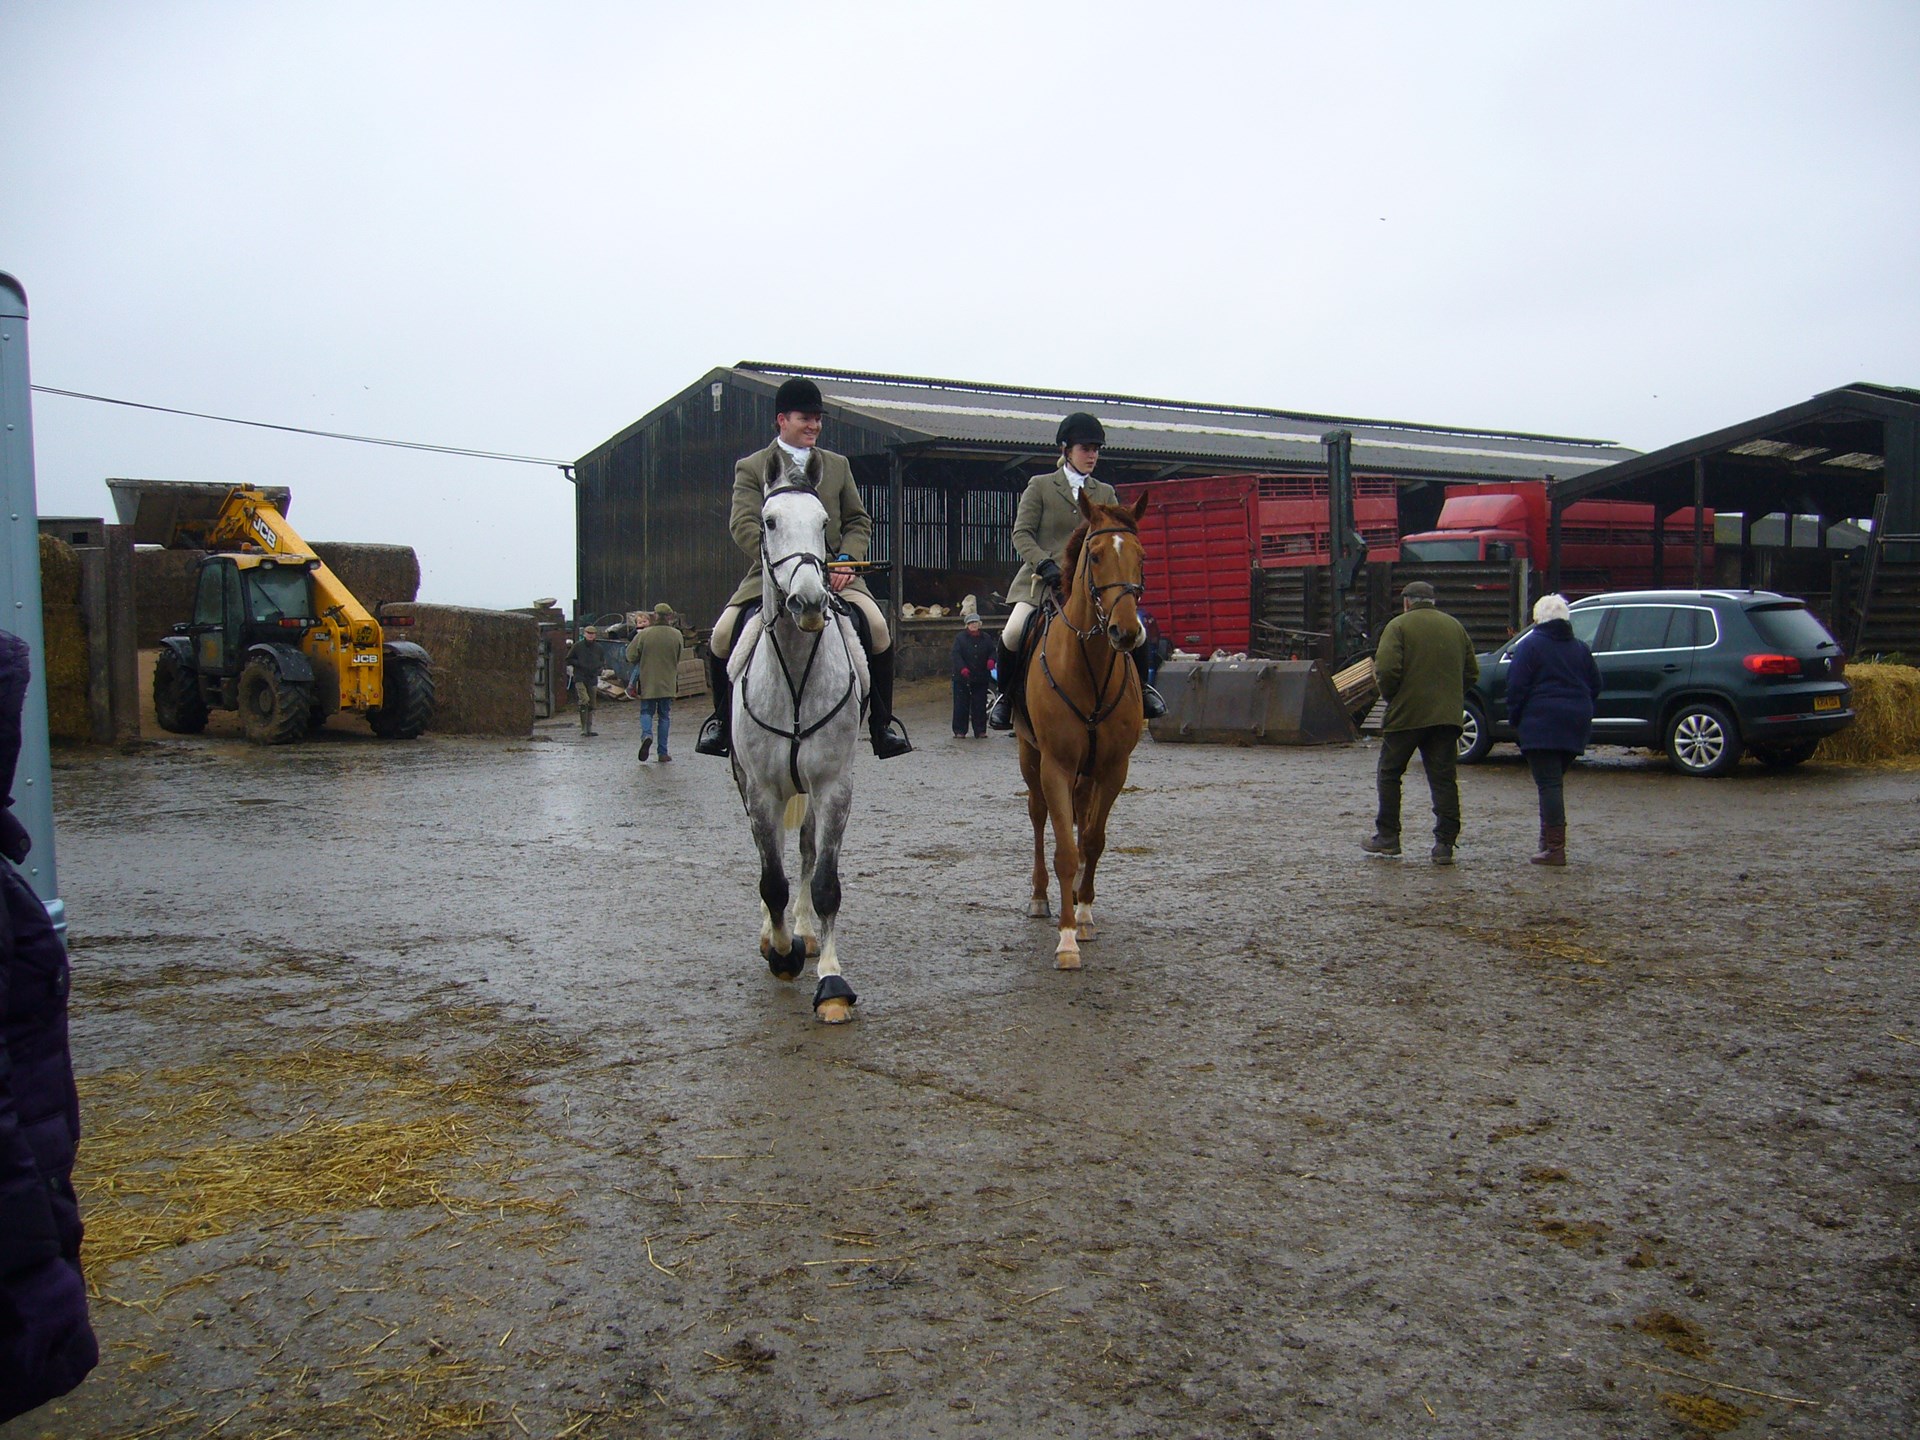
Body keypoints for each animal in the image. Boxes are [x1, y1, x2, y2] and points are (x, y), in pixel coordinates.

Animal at [727, 469, 869, 1022]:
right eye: (769, 520)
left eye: (825, 522)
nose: (808, 603)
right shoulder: (762, 790)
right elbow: (772, 879)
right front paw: (781, 953)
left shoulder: (834, 786)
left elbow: (825, 880)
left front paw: (831, 982)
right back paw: (777, 935)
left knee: (806, 849)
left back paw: (804, 932)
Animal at [1015, 490, 1152, 968]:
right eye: (1094, 556)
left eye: (1141, 556)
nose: (1125, 633)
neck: (1089, 666)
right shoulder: (1056, 765)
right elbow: (1065, 850)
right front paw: (1067, 938)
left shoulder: (1113, 769)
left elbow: (1092, 840)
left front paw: (1085, 914)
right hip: (1030, 755)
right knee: (1039, 817)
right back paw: (1041, 897)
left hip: (1088, 772)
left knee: (1081, 815)